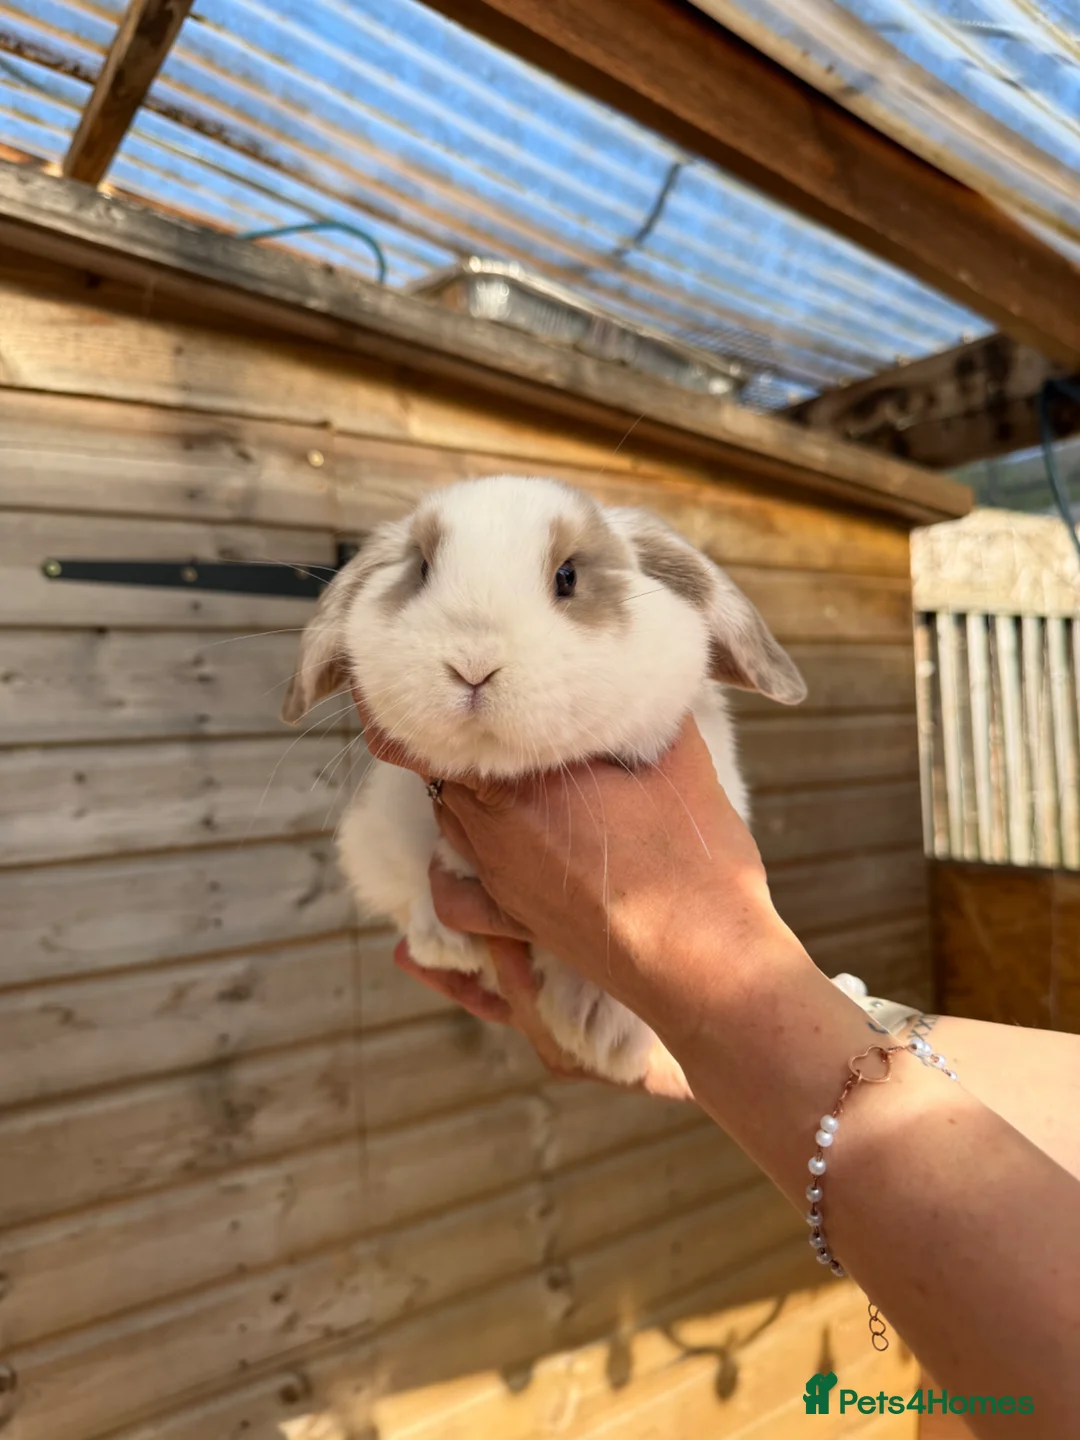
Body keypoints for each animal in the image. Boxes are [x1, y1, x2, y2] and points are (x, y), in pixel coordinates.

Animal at [282, 475, 806, 1084]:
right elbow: (412, 885)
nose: (472, 664)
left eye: (568, 576)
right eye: (422, 569)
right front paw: (443, 942)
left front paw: (606, 1031)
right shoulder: (375, 835)